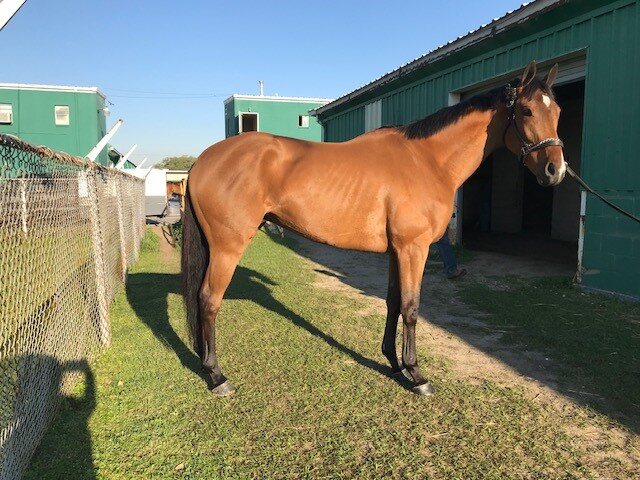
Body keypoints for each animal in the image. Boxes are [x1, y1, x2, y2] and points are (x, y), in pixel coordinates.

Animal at [180, 61, 564, 398]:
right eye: (526, 112)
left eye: (557, 112)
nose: (555, 170)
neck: (426, 161)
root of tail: (203, 160)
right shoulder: (414, 248)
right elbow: (411, 306)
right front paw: (417, 375)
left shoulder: (398, 251)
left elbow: (393, 302)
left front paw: (395, 364)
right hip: (227, 248)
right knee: (208, 300)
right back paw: (217, 376)